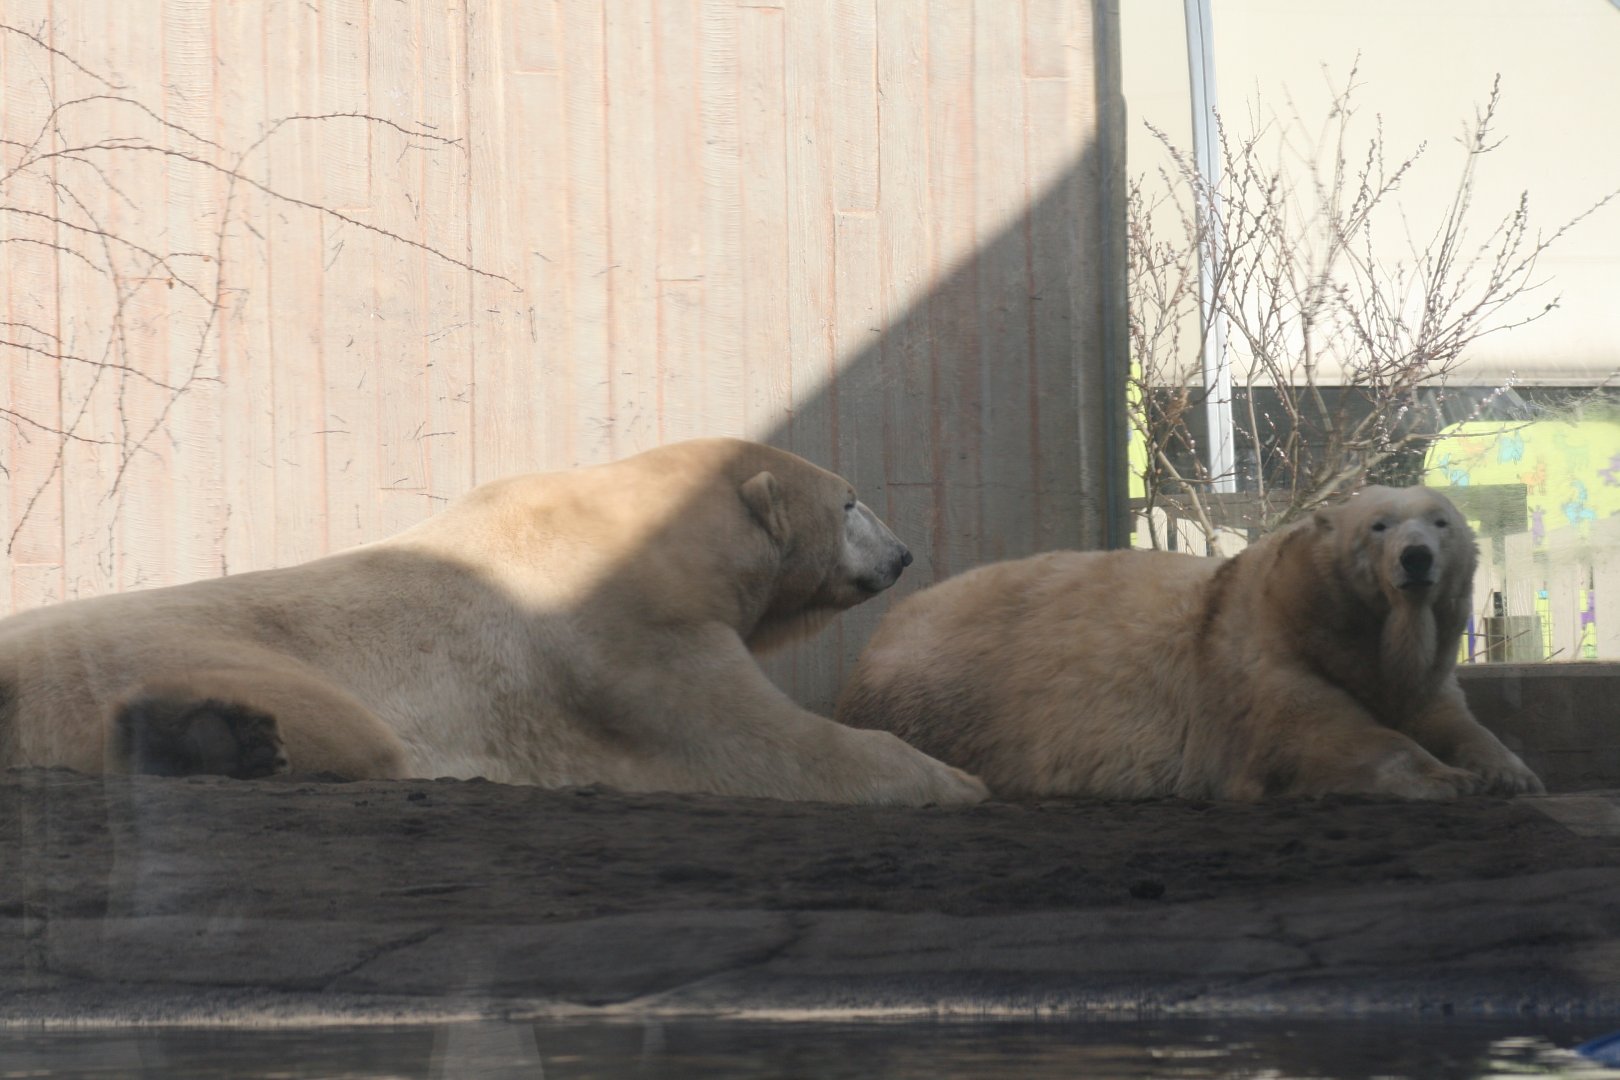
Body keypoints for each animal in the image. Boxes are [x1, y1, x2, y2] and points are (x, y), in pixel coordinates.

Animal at [0, 438, 987, 805]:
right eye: (851, 502)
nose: (905, 556)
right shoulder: (626, 638)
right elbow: (757, 742)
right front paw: (952, 777)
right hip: (183, 644)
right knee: (344, 729)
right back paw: (216, 737)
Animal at [835, 485, 1544, 801]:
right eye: (1378, 525)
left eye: (1441, 521)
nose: (1416, 558)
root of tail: (878, 638)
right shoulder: (1259, 660)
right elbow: (1328, 737)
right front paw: (1451, 779)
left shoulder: (1422, 674)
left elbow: (1449, 717)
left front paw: (1510, 769)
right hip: (957, 697)